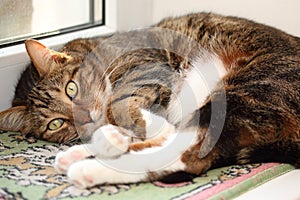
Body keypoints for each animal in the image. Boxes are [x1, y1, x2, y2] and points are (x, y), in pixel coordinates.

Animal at [0, 12, 300, 189]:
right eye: (55, 124)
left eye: (71, 89)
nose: (84, 117)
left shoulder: (148, 65)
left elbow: (120, 104)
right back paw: (86, 152)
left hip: (250, 87)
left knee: (188, 154)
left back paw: (89, 164)